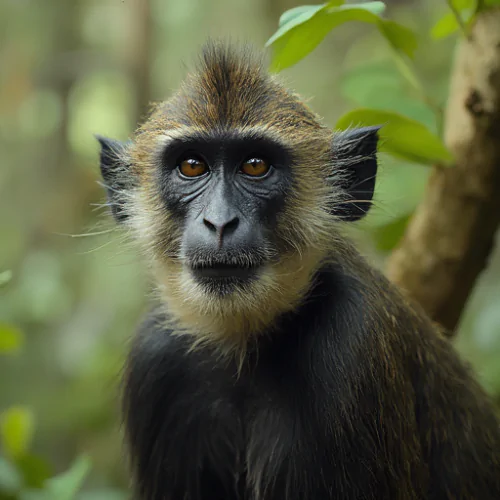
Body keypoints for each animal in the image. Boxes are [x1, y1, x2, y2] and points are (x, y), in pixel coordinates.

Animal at [96, 41, 500, 498]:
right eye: (192, 166)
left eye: (255, 165)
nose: (219, 222)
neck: (246, 346)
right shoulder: (156, 360)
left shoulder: (352, 340)